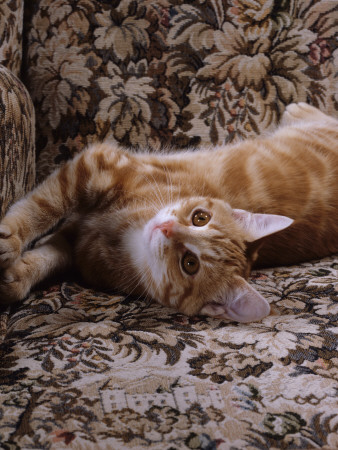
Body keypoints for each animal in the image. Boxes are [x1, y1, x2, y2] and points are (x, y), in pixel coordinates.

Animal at [0, 103, 336, 322]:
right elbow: (43, 209)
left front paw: (15, 269)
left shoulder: (82, 246)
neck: (124, 238)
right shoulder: (95, 169)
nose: (166, 228)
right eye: (200, 217)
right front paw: (14, 243)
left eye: (189, 263)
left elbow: (51, 248)